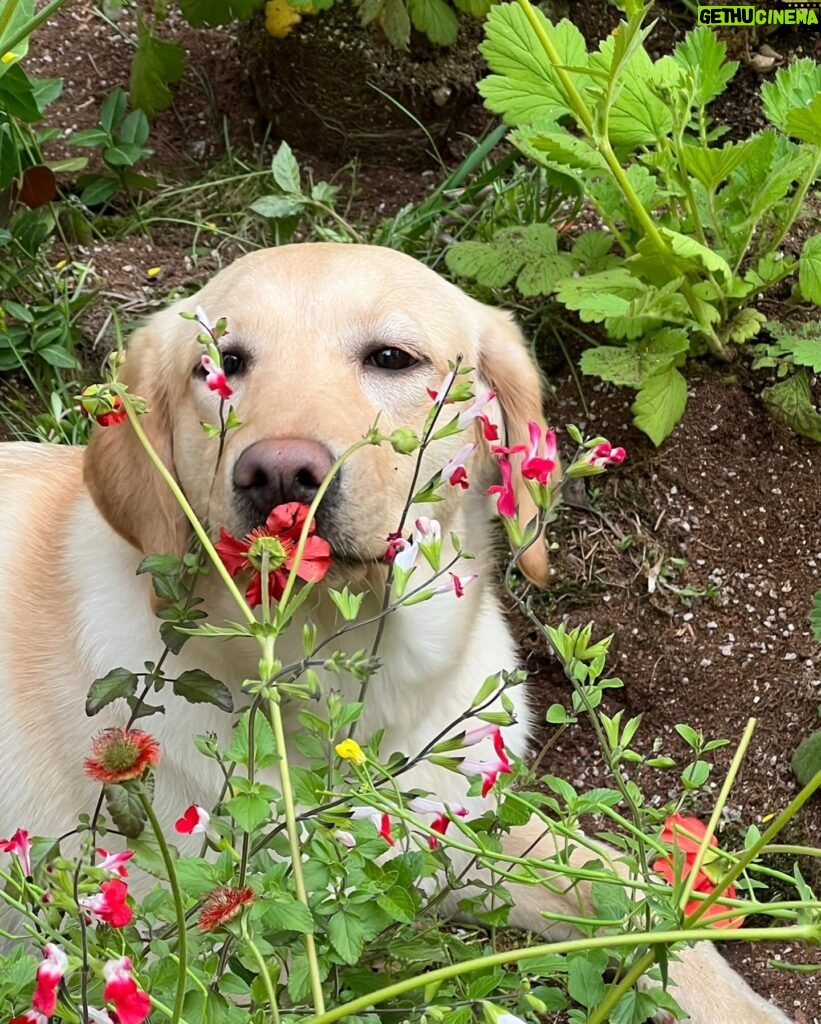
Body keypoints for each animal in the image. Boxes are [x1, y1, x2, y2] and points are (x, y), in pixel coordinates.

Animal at [1, 243, 794, 1019]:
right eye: (219, 365)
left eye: (390, 358)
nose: (279, 474)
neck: (361, 684)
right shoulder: (206, 941)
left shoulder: (468, 828)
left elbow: (617, 882)